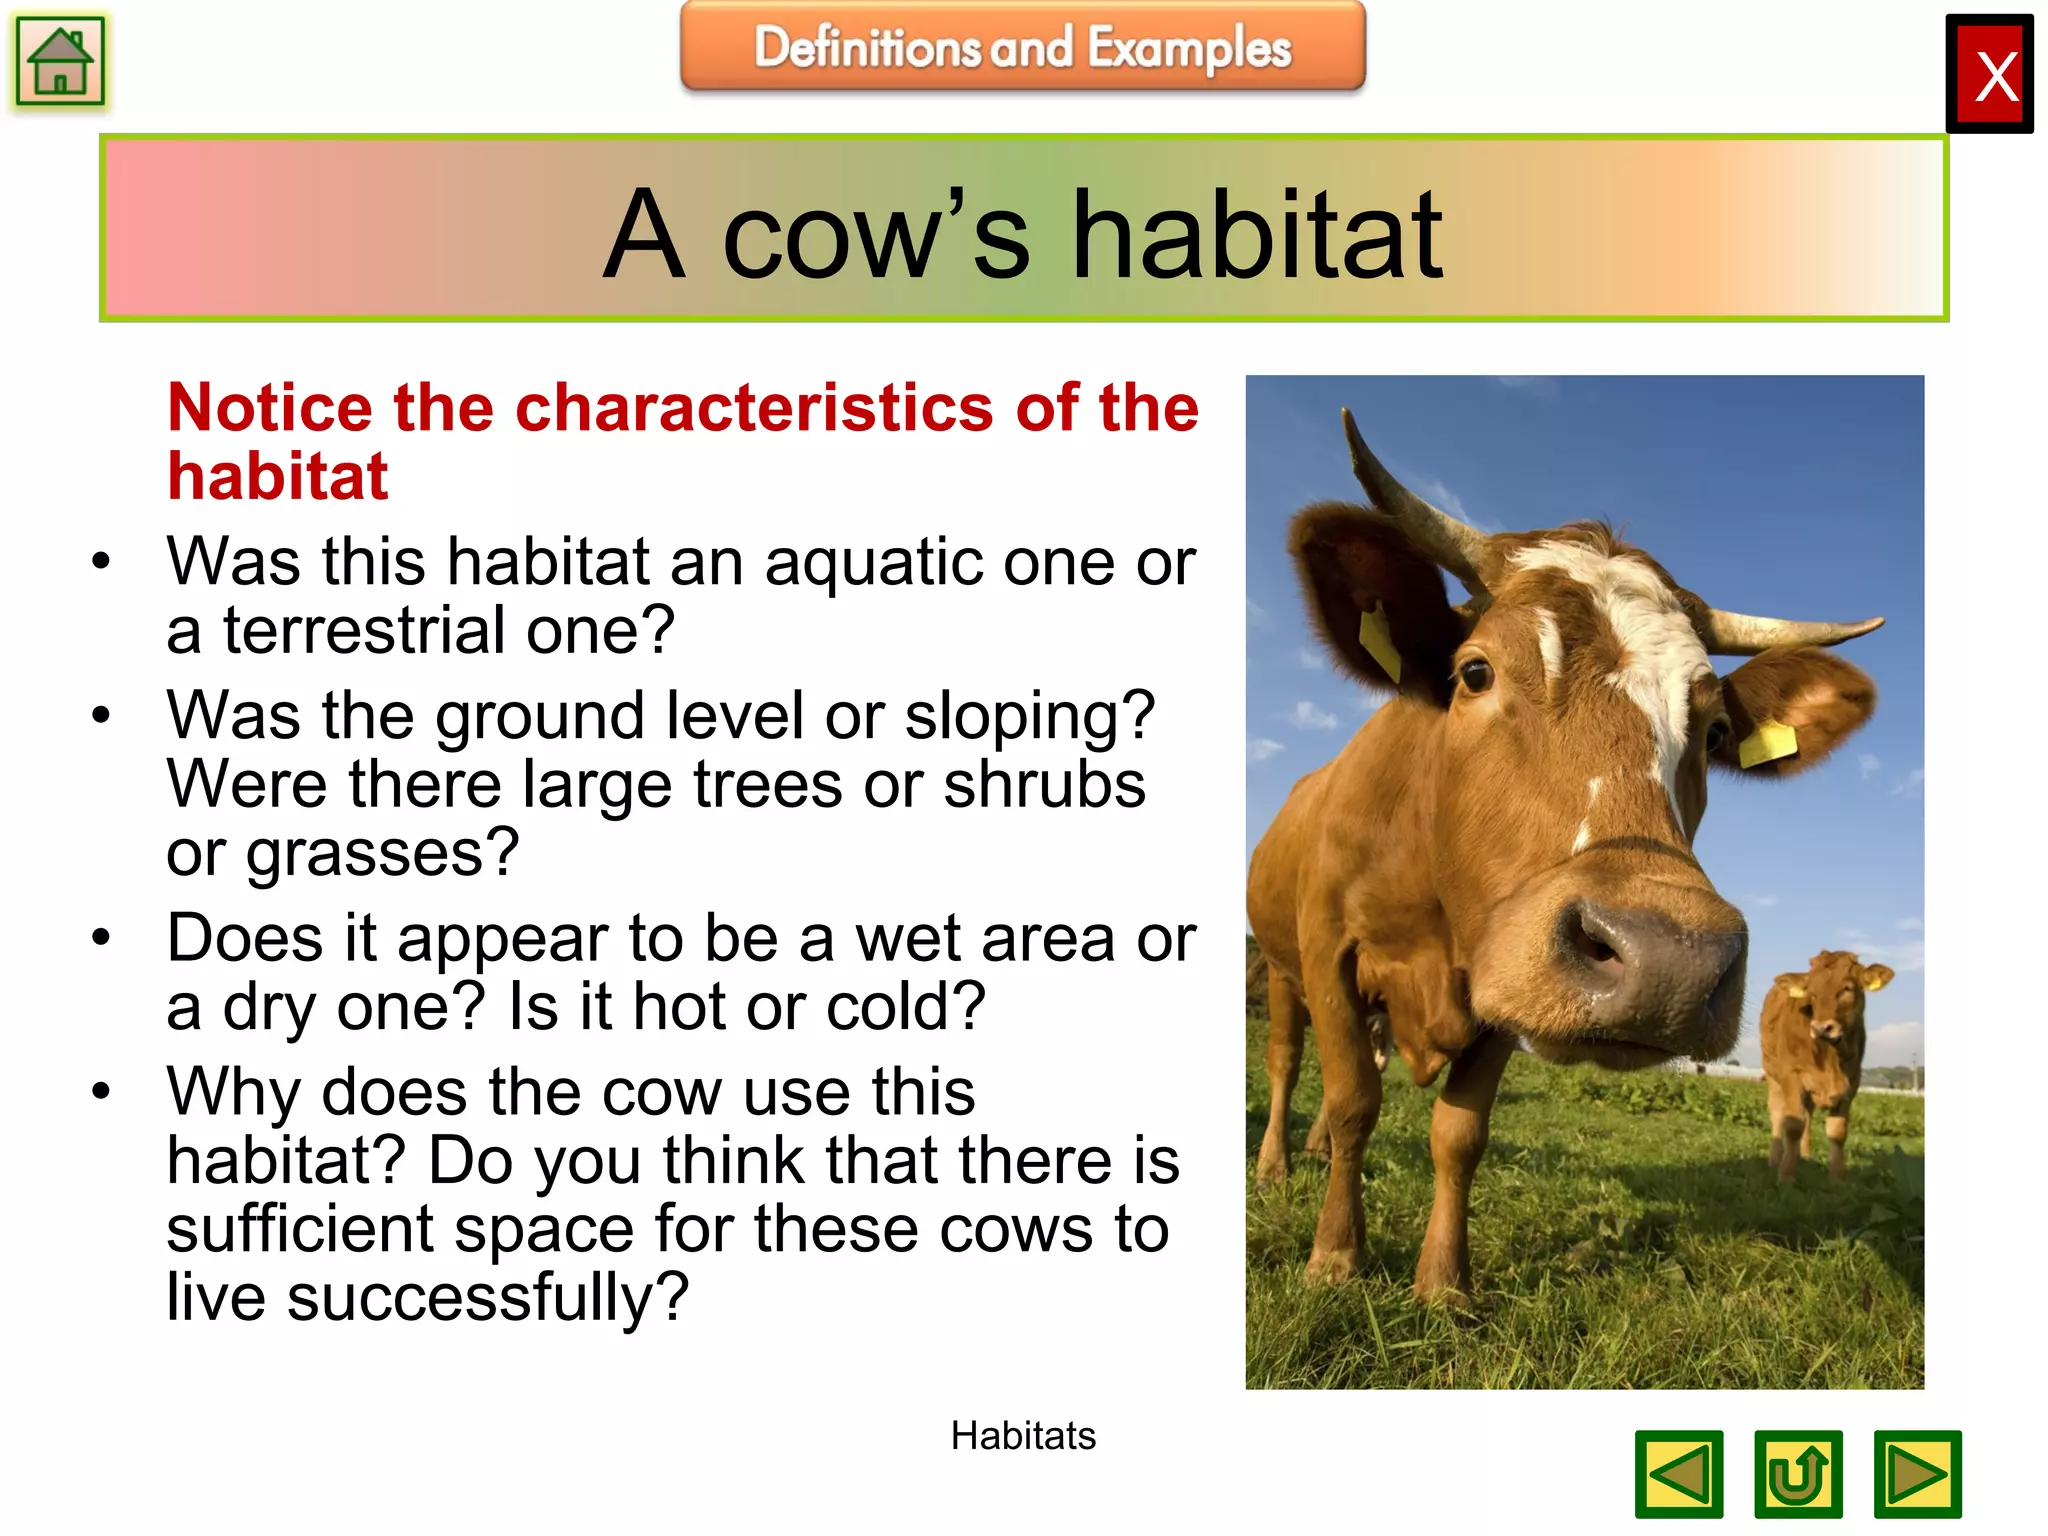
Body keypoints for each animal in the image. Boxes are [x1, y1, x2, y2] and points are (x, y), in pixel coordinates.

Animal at [1760, 951, 1894, 1181]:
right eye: (1812, 993)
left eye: (1847, 988)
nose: (1822, 1027)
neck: (1830, 1057)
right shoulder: (1791, 1075)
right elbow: (1793, 1124)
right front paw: (1786, 1175)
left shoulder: (1852, 1081)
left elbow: (1837, 1131)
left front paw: (1837, 1177)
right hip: (1772, 1074)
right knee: (1778, 1113)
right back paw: (1776, 1158)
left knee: (1808, 1115)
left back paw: (1803, 1155)